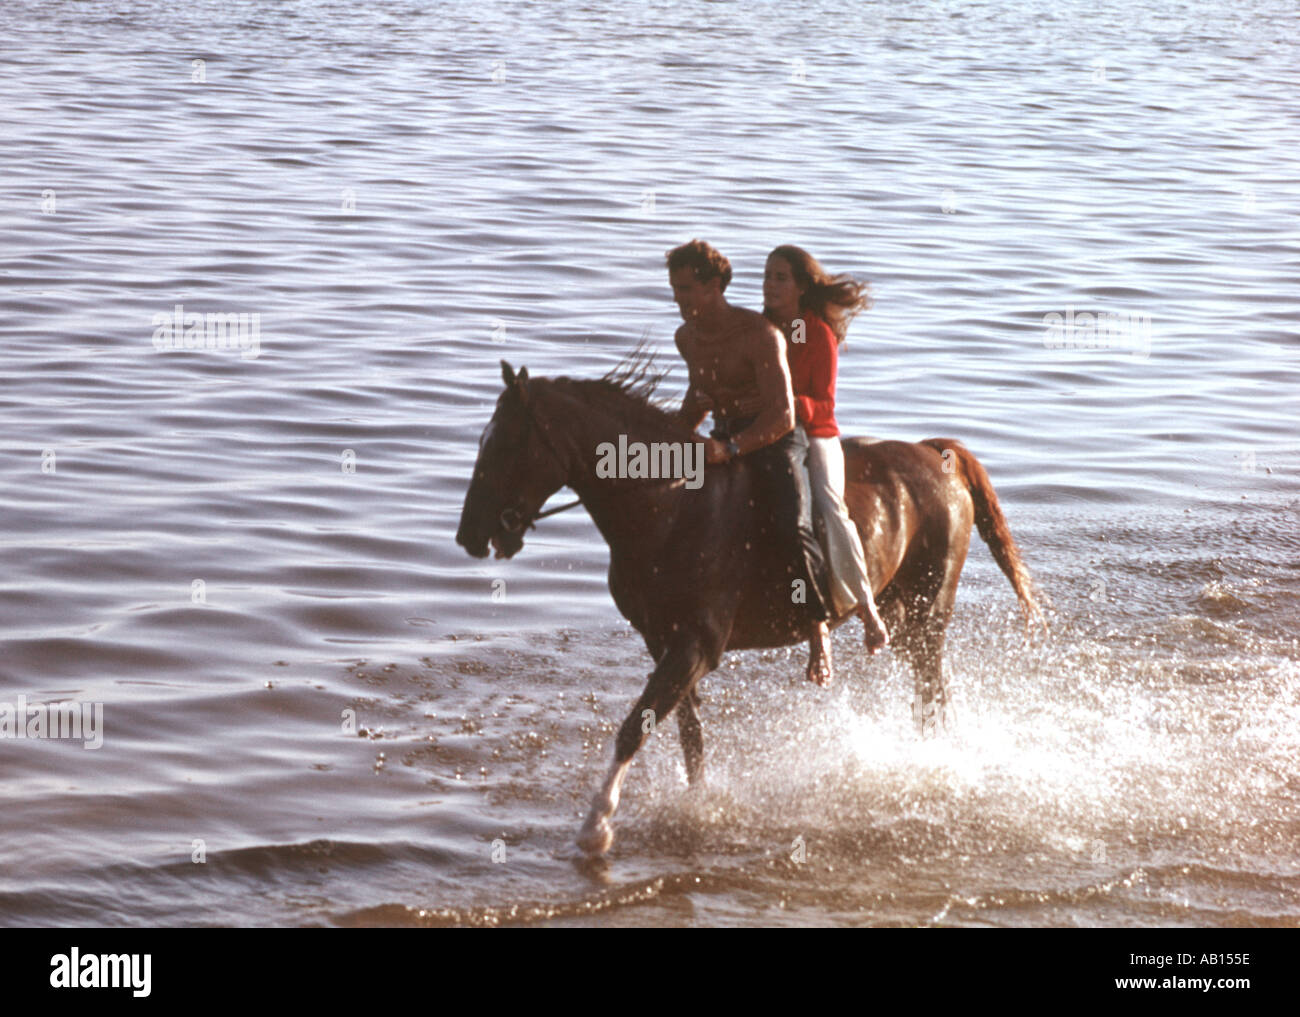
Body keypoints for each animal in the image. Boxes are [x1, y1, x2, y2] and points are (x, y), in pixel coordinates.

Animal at [457, 361, 1045, 858]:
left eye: (506, 445)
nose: (469, 535)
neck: (668, 504)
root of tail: (937, 456)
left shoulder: (696, 646)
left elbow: (633, 729)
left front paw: (596, 824)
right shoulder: (664, 643)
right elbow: (688, 735)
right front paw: (697, 806)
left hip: (928, 616)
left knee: (932, 693)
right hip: (900, 618)